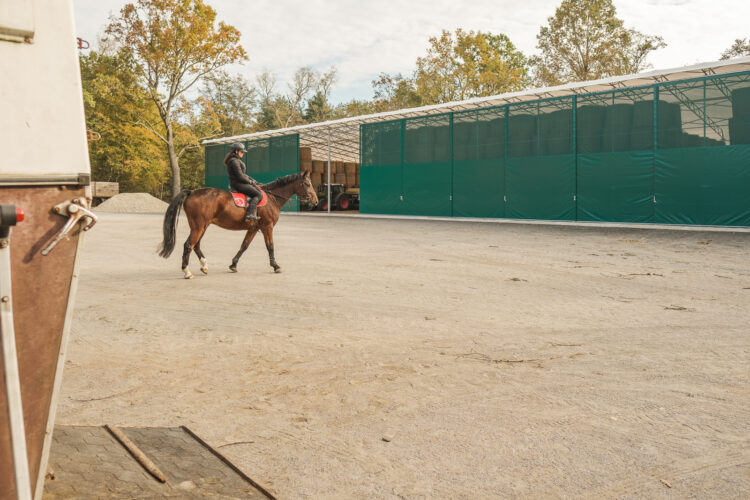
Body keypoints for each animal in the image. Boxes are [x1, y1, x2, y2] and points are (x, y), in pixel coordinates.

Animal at [160, 171, 318, 282]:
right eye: (307, 184)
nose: (315, 201)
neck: (272, 198)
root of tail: (192, 192)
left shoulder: (254, 228)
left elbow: (244, 245)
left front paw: (233, 265)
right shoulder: (267, 227)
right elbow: (270, 246)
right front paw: (276, 266)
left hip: (202, 226)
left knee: (196, 245)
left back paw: (204, 266)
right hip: (198, 227)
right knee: (188, 245)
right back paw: (187, 272)